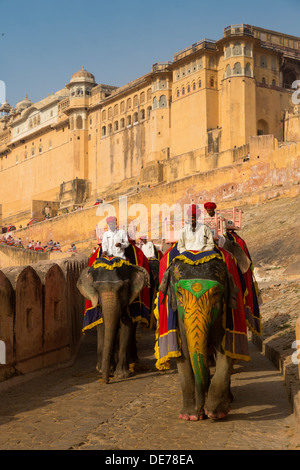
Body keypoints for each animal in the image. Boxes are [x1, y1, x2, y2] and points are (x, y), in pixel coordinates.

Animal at [159, 255, 239, 420]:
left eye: (216, 294)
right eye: (180, 295)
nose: (200, 411)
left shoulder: (225, 313)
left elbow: (226, 350)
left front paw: (215, 413)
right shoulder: (179, 320)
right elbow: (183, 352)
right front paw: (190, 416)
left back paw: (227, 400)